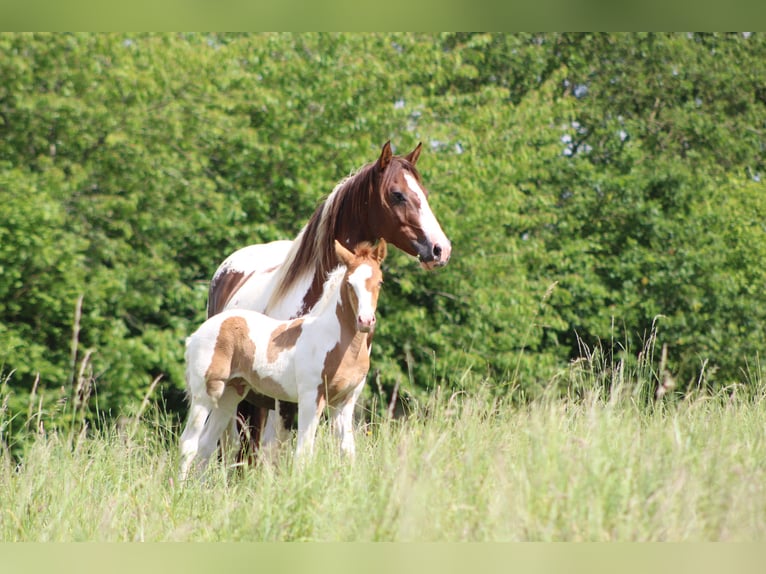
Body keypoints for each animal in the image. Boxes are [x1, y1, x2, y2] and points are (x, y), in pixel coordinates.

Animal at [178, 240, 384, 482]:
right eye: (350, 283)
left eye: (379, 281)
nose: (365, 321)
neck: (331, 338)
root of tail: (196, 334)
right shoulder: (310, 397)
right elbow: (303, 452)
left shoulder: (345, 401)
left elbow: (347, 452)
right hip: (204, 395)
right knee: (189, 443)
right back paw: (180, 488)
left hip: (229, 393)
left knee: (206, 444)